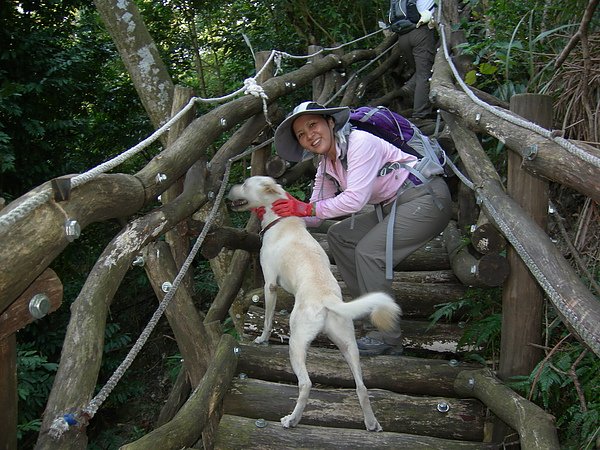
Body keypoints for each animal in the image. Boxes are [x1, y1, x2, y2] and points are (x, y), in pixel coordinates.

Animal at [227, 176, 400, 432]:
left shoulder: (270, 284)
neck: (280, 218)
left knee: (306, 384)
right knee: (361, 387)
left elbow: (267, 319)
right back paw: (371, 423)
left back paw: (292, 419)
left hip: (296, 344)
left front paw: (262, 339)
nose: (229, 189)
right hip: (349, 346)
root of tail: (327, 298)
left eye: (246, 185)